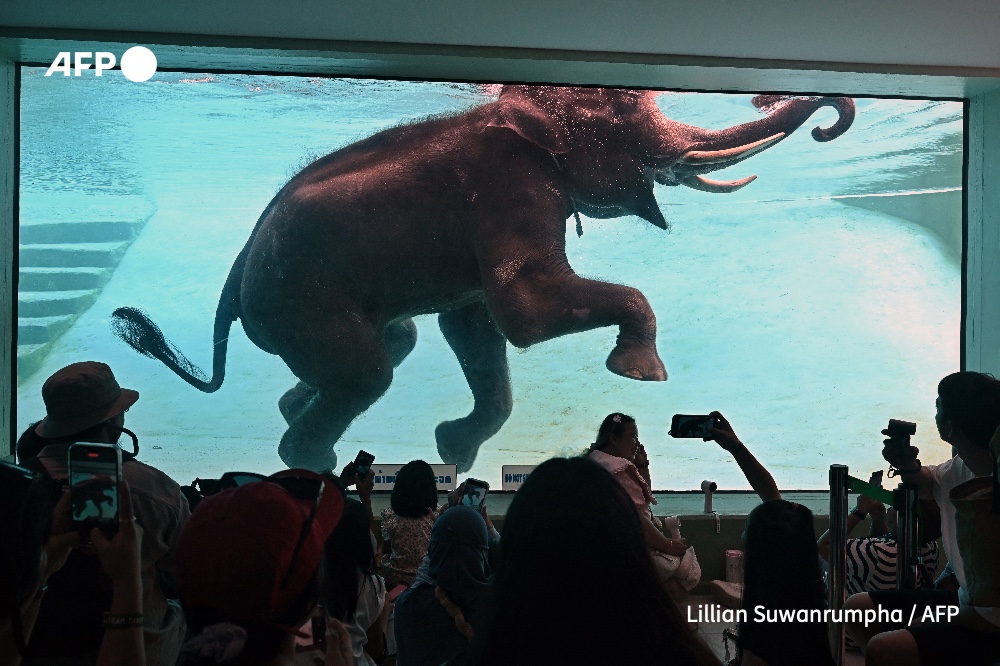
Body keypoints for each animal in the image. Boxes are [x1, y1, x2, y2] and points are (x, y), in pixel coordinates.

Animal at [115, 84, 852, 472]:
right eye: (627, 111)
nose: (827, 121)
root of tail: (233, 283)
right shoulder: (512, 189)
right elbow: (523, 310)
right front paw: (641, 373)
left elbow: (474, 323)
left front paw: (455, 451)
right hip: (298, 298)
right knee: (367, 374)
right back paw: (314, 465)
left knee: (397, 343)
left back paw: (297, 410)